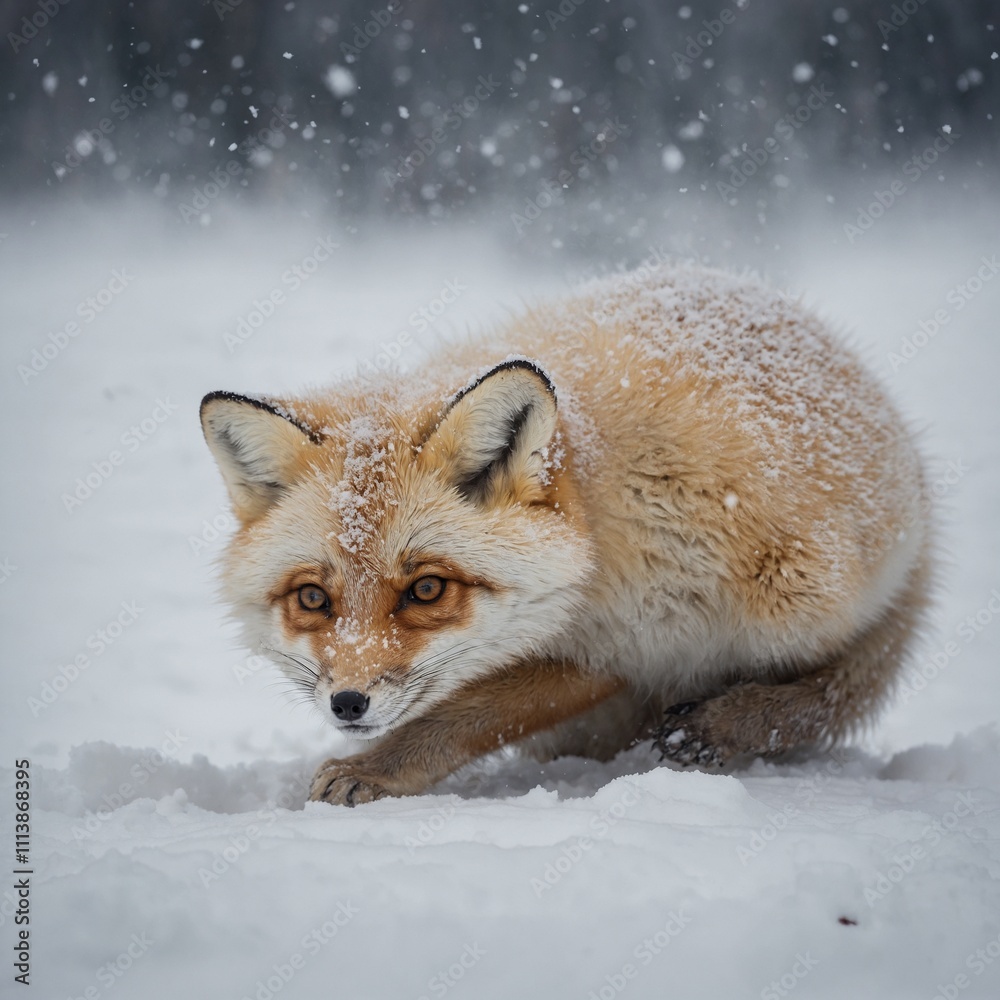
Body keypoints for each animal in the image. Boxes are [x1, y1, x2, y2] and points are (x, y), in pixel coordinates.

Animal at [200, 262, 932, 806]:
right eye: (313, 599)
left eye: (427, 590)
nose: (348, 704)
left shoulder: (645, 632)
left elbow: (467, 712)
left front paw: (379, 767)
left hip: (820, 612)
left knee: (826, 698)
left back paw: (731, 722)